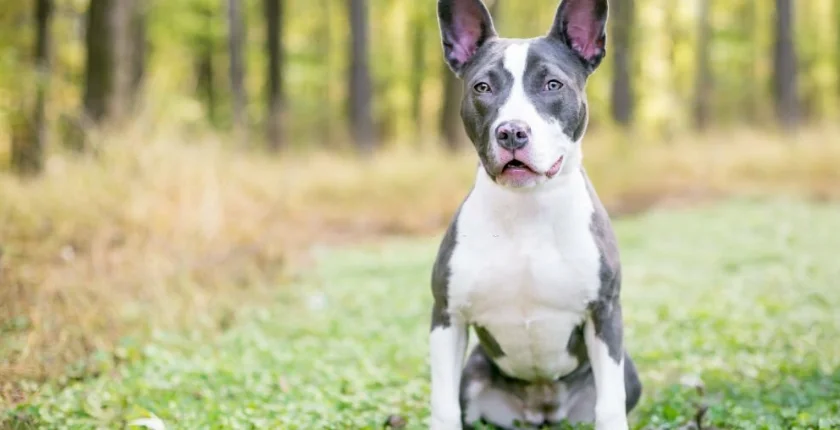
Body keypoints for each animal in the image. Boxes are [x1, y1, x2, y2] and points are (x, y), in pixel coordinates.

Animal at [430, 0, 648, 430]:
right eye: (483, 87)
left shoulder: (605, 313)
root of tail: (542, 409)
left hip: (628, 372)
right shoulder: (447, 316)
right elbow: (443, 405)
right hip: (474, 374)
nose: (512, 132)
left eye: (552, 85)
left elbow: (610, 404)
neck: (527, 208)